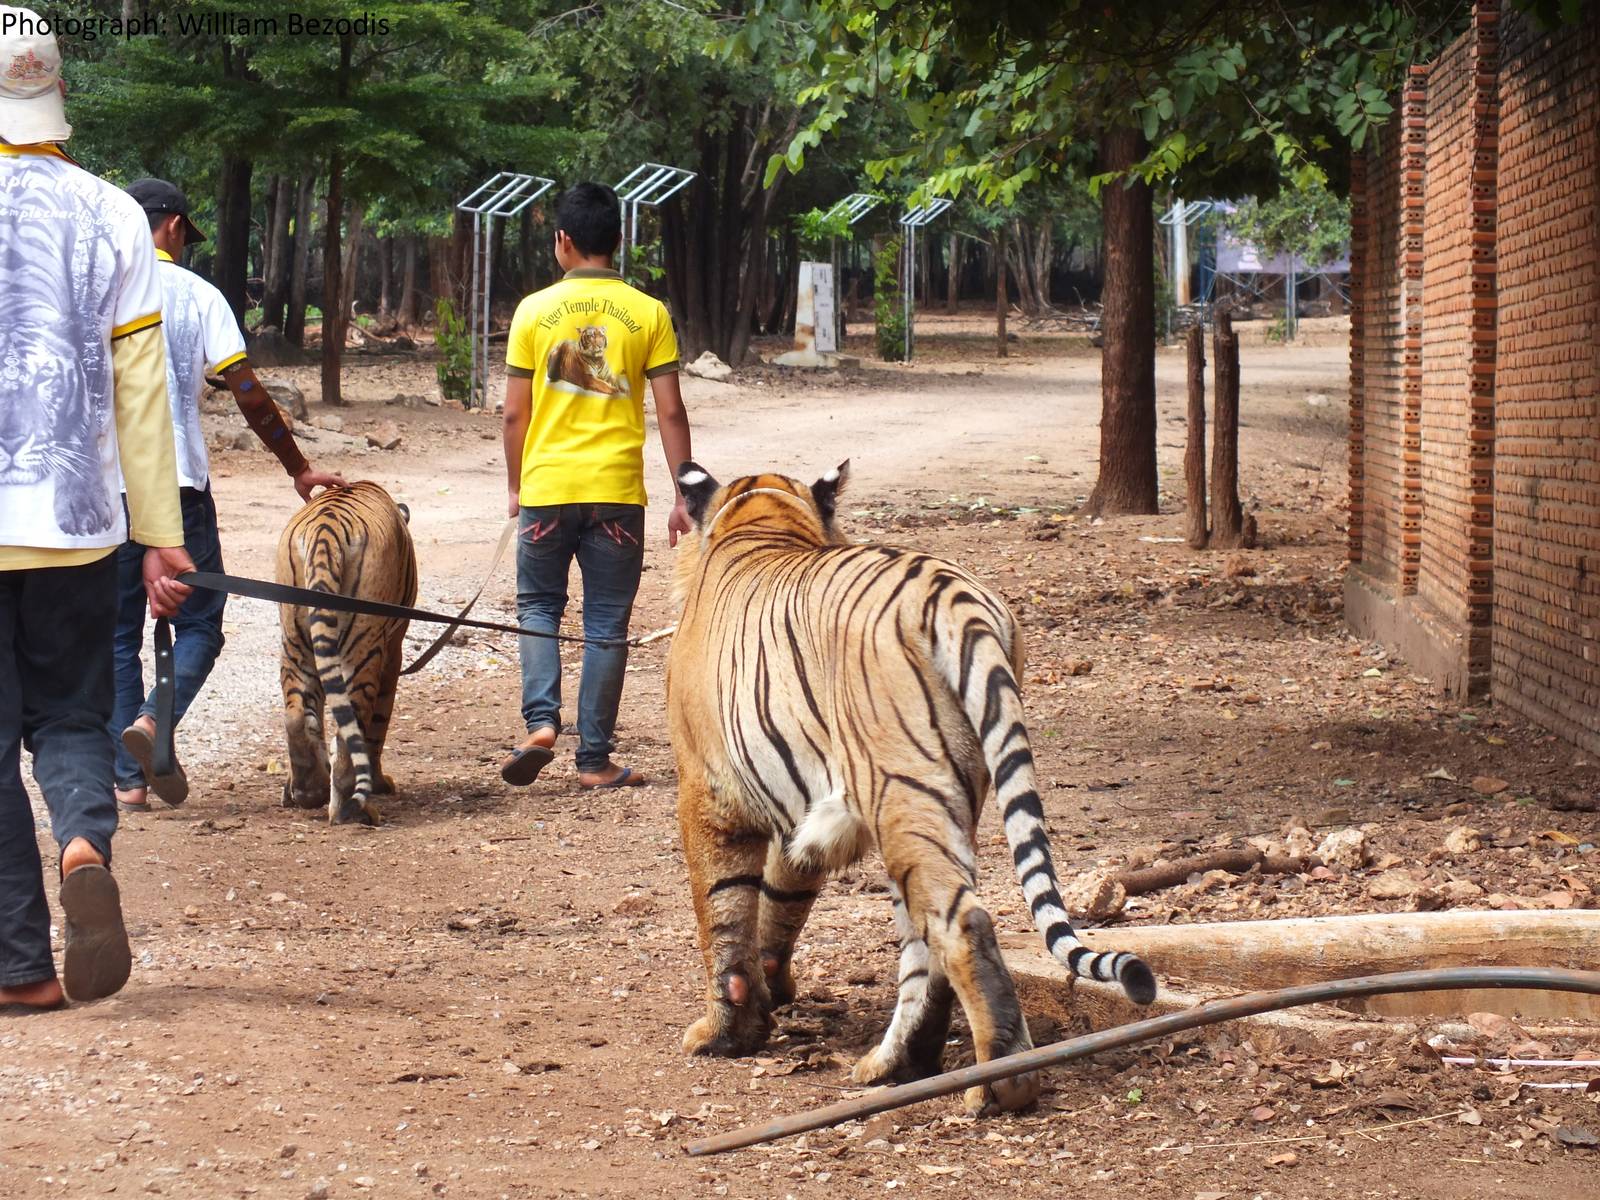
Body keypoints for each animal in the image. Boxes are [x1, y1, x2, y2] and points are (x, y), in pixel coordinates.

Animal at [276, 481, 418, 825]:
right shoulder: (392, 651)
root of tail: (324, 529)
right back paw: (353, 810)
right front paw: (379, 783)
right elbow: (378, 723)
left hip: (295, 641)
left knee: (296, 714)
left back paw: (308, 789)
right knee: (350, 729)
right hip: (362, 648)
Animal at [666, 460, 1156, 1115]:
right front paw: (771, 992)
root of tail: (953, 595)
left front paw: (725, 1033)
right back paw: (898, 1066)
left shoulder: (707, 790)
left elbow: (723, 911)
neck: (764, 520)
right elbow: (779, 900)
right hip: (943, 799)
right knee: (928, 939)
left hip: (898, 787)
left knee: (961, 925)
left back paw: (999, 1083)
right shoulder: (800, 815)